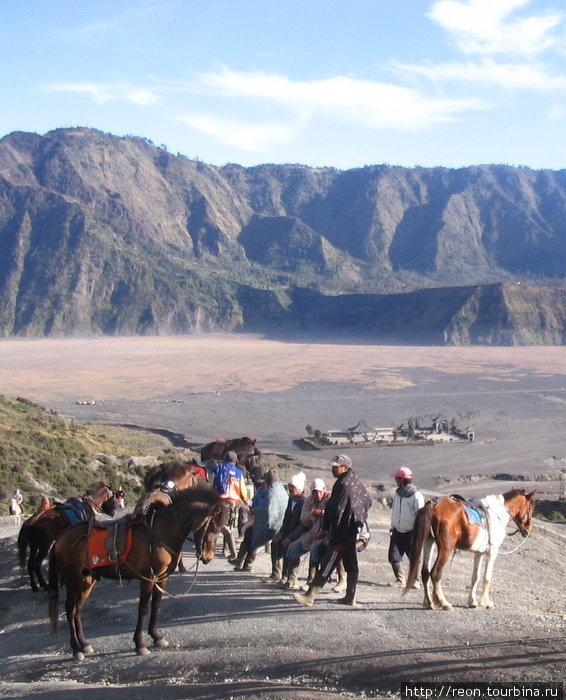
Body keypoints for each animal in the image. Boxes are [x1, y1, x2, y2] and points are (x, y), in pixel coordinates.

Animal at [47, 484, 229, 660]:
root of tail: (60, 538)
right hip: (73, 580)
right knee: (70, 610)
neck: (160, 532)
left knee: (77, 609)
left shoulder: (162, 578)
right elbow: (143, 609)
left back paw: (84, 644)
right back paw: (76, 649)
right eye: (212, 525)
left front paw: (157, 637)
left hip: (87, 580)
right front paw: (140, 644)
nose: (208, 557)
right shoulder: (148, 578)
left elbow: (156, 606)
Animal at [406, 490, 536, 608]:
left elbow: (475, 577)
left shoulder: (479, 553)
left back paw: (430, 603)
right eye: (530, 507)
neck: (497, 514)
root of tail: (434, 504)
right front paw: (486, 602)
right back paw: (444, 603)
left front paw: (472, 601)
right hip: (445, 548)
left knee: (425, 573)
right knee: (435, 572)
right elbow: (487, 578)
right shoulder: (492, 552)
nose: (529, 529)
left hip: (429, 543)